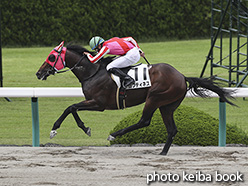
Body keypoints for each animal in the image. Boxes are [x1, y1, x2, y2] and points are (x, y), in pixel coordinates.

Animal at [35, 41, 234, 155]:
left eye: (51, 57)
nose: (38, 73)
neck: (92, 72)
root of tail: (182, 76)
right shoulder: (94, 103)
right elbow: (72, 108)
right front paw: (83, 128)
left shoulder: (98, 103)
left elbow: (71, 107)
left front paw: (57, 129)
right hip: (167, 105)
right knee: (172, 129)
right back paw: (162, 153)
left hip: (154, 98)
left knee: (144, 121)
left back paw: (115, 135)